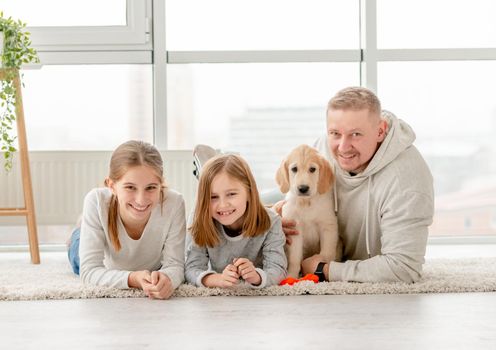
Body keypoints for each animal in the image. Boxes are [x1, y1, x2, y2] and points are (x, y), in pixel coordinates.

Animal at [276, 144, 340, 278]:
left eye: (312, 169)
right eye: (294, 169)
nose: (303, 188)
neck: (306, 203)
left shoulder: (328, 226)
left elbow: (326, 253)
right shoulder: (295, 230)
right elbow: (294, 259)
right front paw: (291, 275)